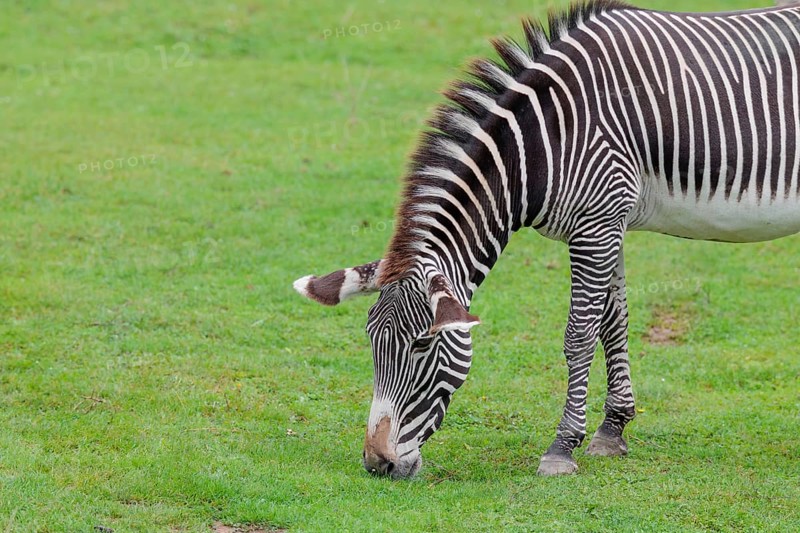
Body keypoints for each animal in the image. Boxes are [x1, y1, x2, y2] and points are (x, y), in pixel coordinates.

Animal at [293, 0, 800, 477]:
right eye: (370, 341)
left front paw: (562, 448)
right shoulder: (609, 221)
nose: (376, 464)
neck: (545, 141)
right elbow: (613, 324)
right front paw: (612, 430)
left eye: (421, 345)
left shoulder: (596, 223)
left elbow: (579, 335)